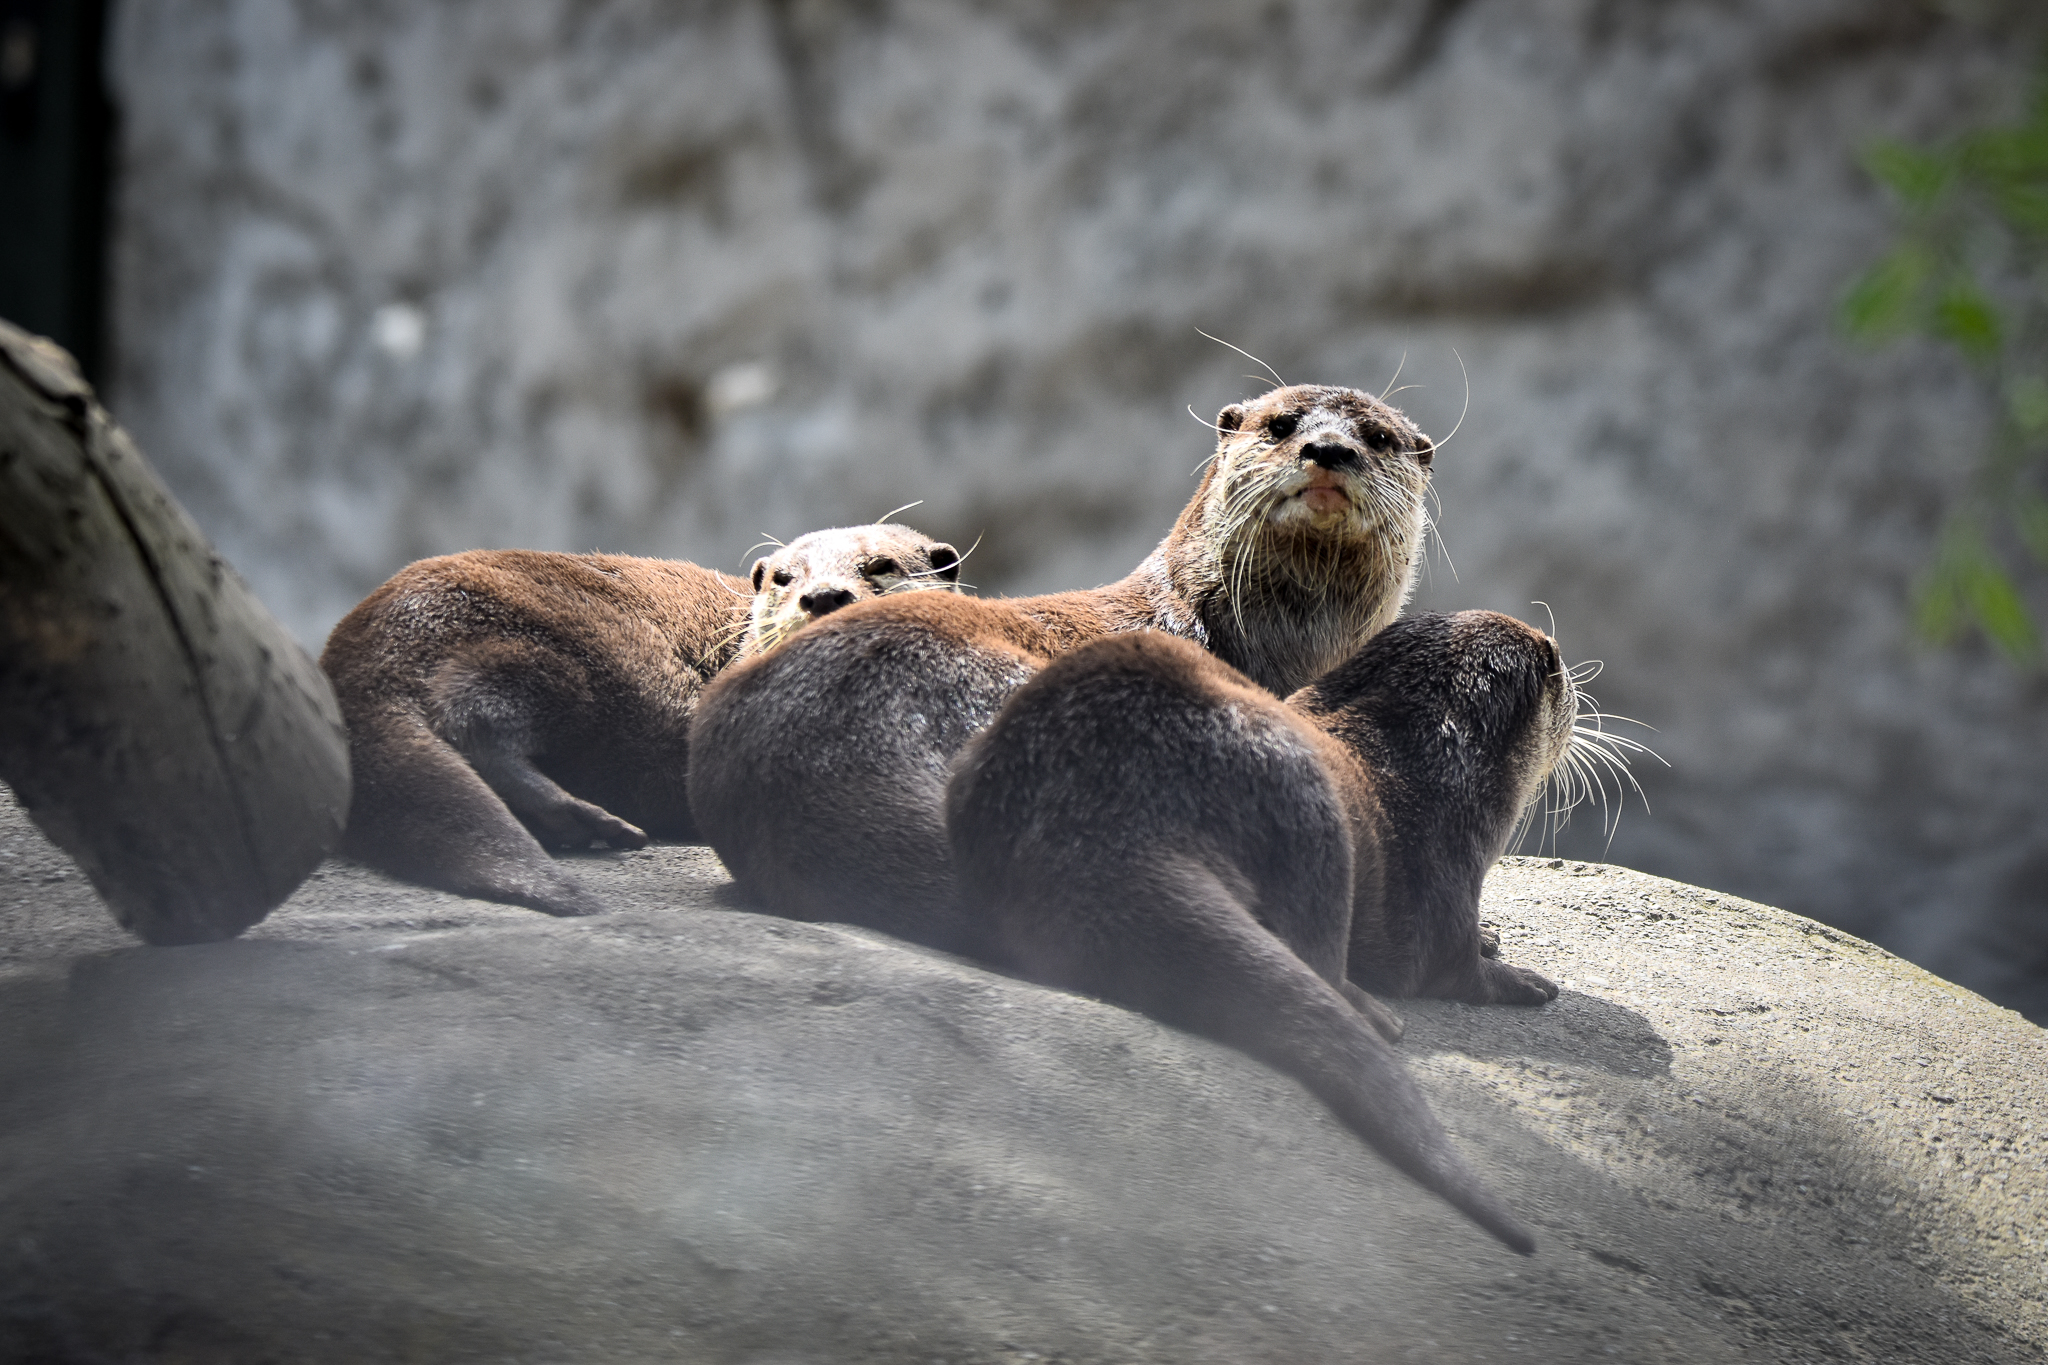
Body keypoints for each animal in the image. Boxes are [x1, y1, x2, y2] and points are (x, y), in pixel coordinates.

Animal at [322, 524, 959, 917]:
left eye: (881, 566)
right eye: (786, 577)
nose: (824, 595)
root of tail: (362, 640)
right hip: (569, 654)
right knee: (472, 717)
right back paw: (584, 823)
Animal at [942, 612, 1580, 1253]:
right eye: (1554, 660)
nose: (1575, 682)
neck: (1428, 764)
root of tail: (1097, 816)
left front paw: (1494, 938)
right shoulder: (1448, 871)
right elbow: (1453, 969)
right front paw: (1522, 979)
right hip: (1300, 791)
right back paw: (1371, 1013)